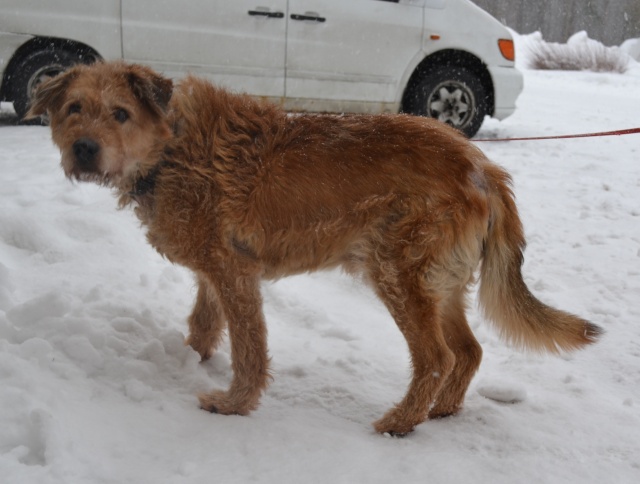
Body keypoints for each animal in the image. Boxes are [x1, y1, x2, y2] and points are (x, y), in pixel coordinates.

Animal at [27, 61, 601, 436]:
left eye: (120, 113)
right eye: (74, 109)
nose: (83, 149)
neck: (172, 147)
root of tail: (482, 166)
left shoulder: (236, 275)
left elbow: (249, 348)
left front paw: (234, 405)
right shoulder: (214, 270)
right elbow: (204, 323)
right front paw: (190, 359)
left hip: (398, 275)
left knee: (436, 358)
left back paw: (400, 422)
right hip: (442, 284)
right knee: (469, 351)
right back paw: (441, 411)